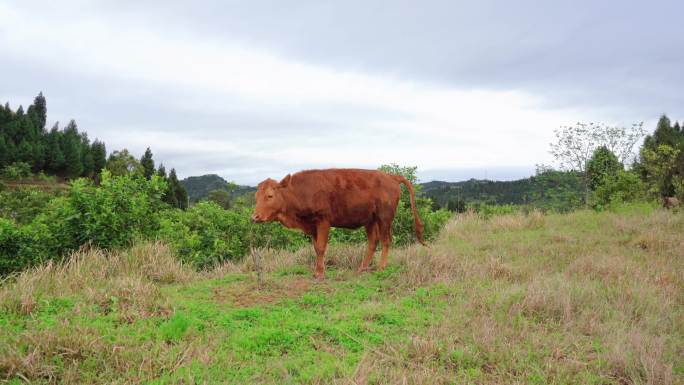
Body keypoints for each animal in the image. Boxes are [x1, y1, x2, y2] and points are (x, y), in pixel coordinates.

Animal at [254, 168, 424, 280]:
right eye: (256, 196)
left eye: (270, 195)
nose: (255, 216)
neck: (299, 191)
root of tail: (391, 177)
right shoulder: (312, 226)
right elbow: (316, 248)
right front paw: (317, 271)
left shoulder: (323, 221)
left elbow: (321, 248)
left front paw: (320, 274)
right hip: (370, 220)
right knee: (372, 242)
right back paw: (362, 268)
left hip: (384, 218)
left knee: (385, 240)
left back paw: (381, 268)